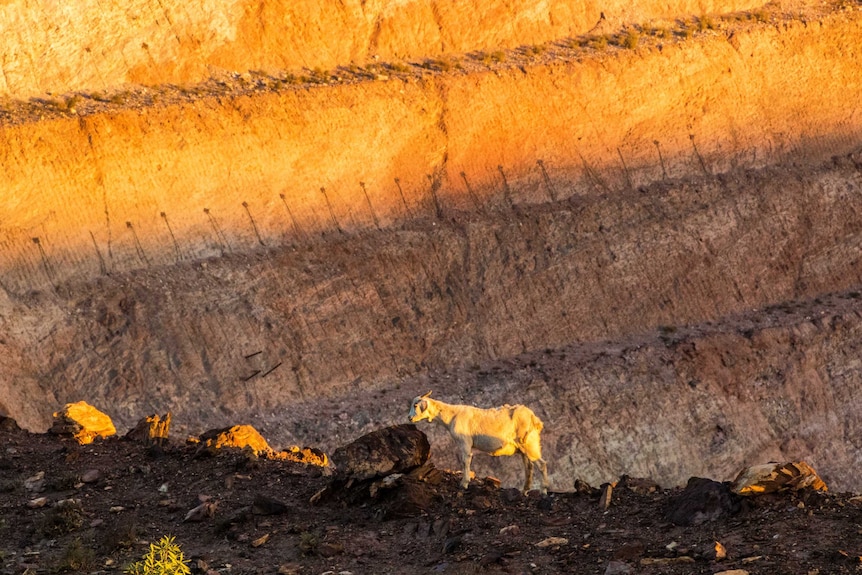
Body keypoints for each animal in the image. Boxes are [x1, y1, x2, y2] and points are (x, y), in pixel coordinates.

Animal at [408, 392, 552, 496]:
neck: (452, 416)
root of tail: (534, 419)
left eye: (415, 405)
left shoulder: (464, 442)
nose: (409, 418)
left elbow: (465, 461)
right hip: (524, 447)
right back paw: (525, 491)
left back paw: (543, 491)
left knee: (541, 464)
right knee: (529, 467)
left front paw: (464, 484)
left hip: (529, 443)